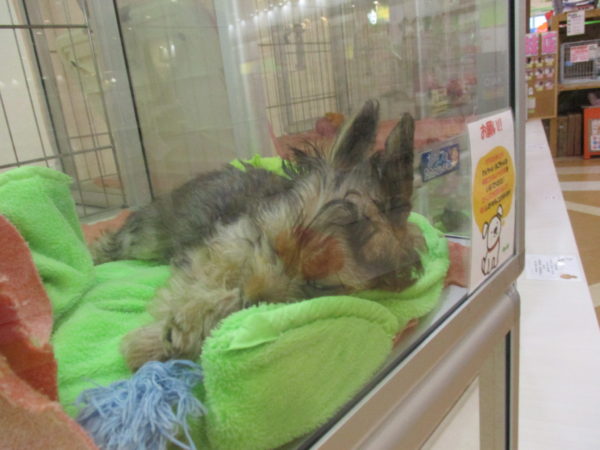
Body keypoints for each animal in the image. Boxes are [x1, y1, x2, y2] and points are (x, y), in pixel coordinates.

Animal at [91, 100, 424, 370]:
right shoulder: (219, 250)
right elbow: (201, 286)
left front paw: (165, 337)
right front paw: (163, 336)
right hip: (148, 237)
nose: (252, 296)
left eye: (317, 286)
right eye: (273, 244)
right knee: (115, 242)